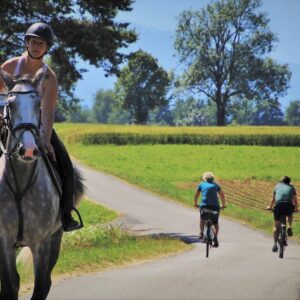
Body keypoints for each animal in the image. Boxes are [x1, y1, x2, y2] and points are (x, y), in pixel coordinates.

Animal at [0, 69, 84, 298]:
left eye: (38, 104)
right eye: (10, 104)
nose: (28, 150)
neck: (20, 183)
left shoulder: (42, 243)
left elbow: (39, 286)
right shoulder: (4, 242)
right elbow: (10, 286)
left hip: (56, 238)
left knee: (46, 282)